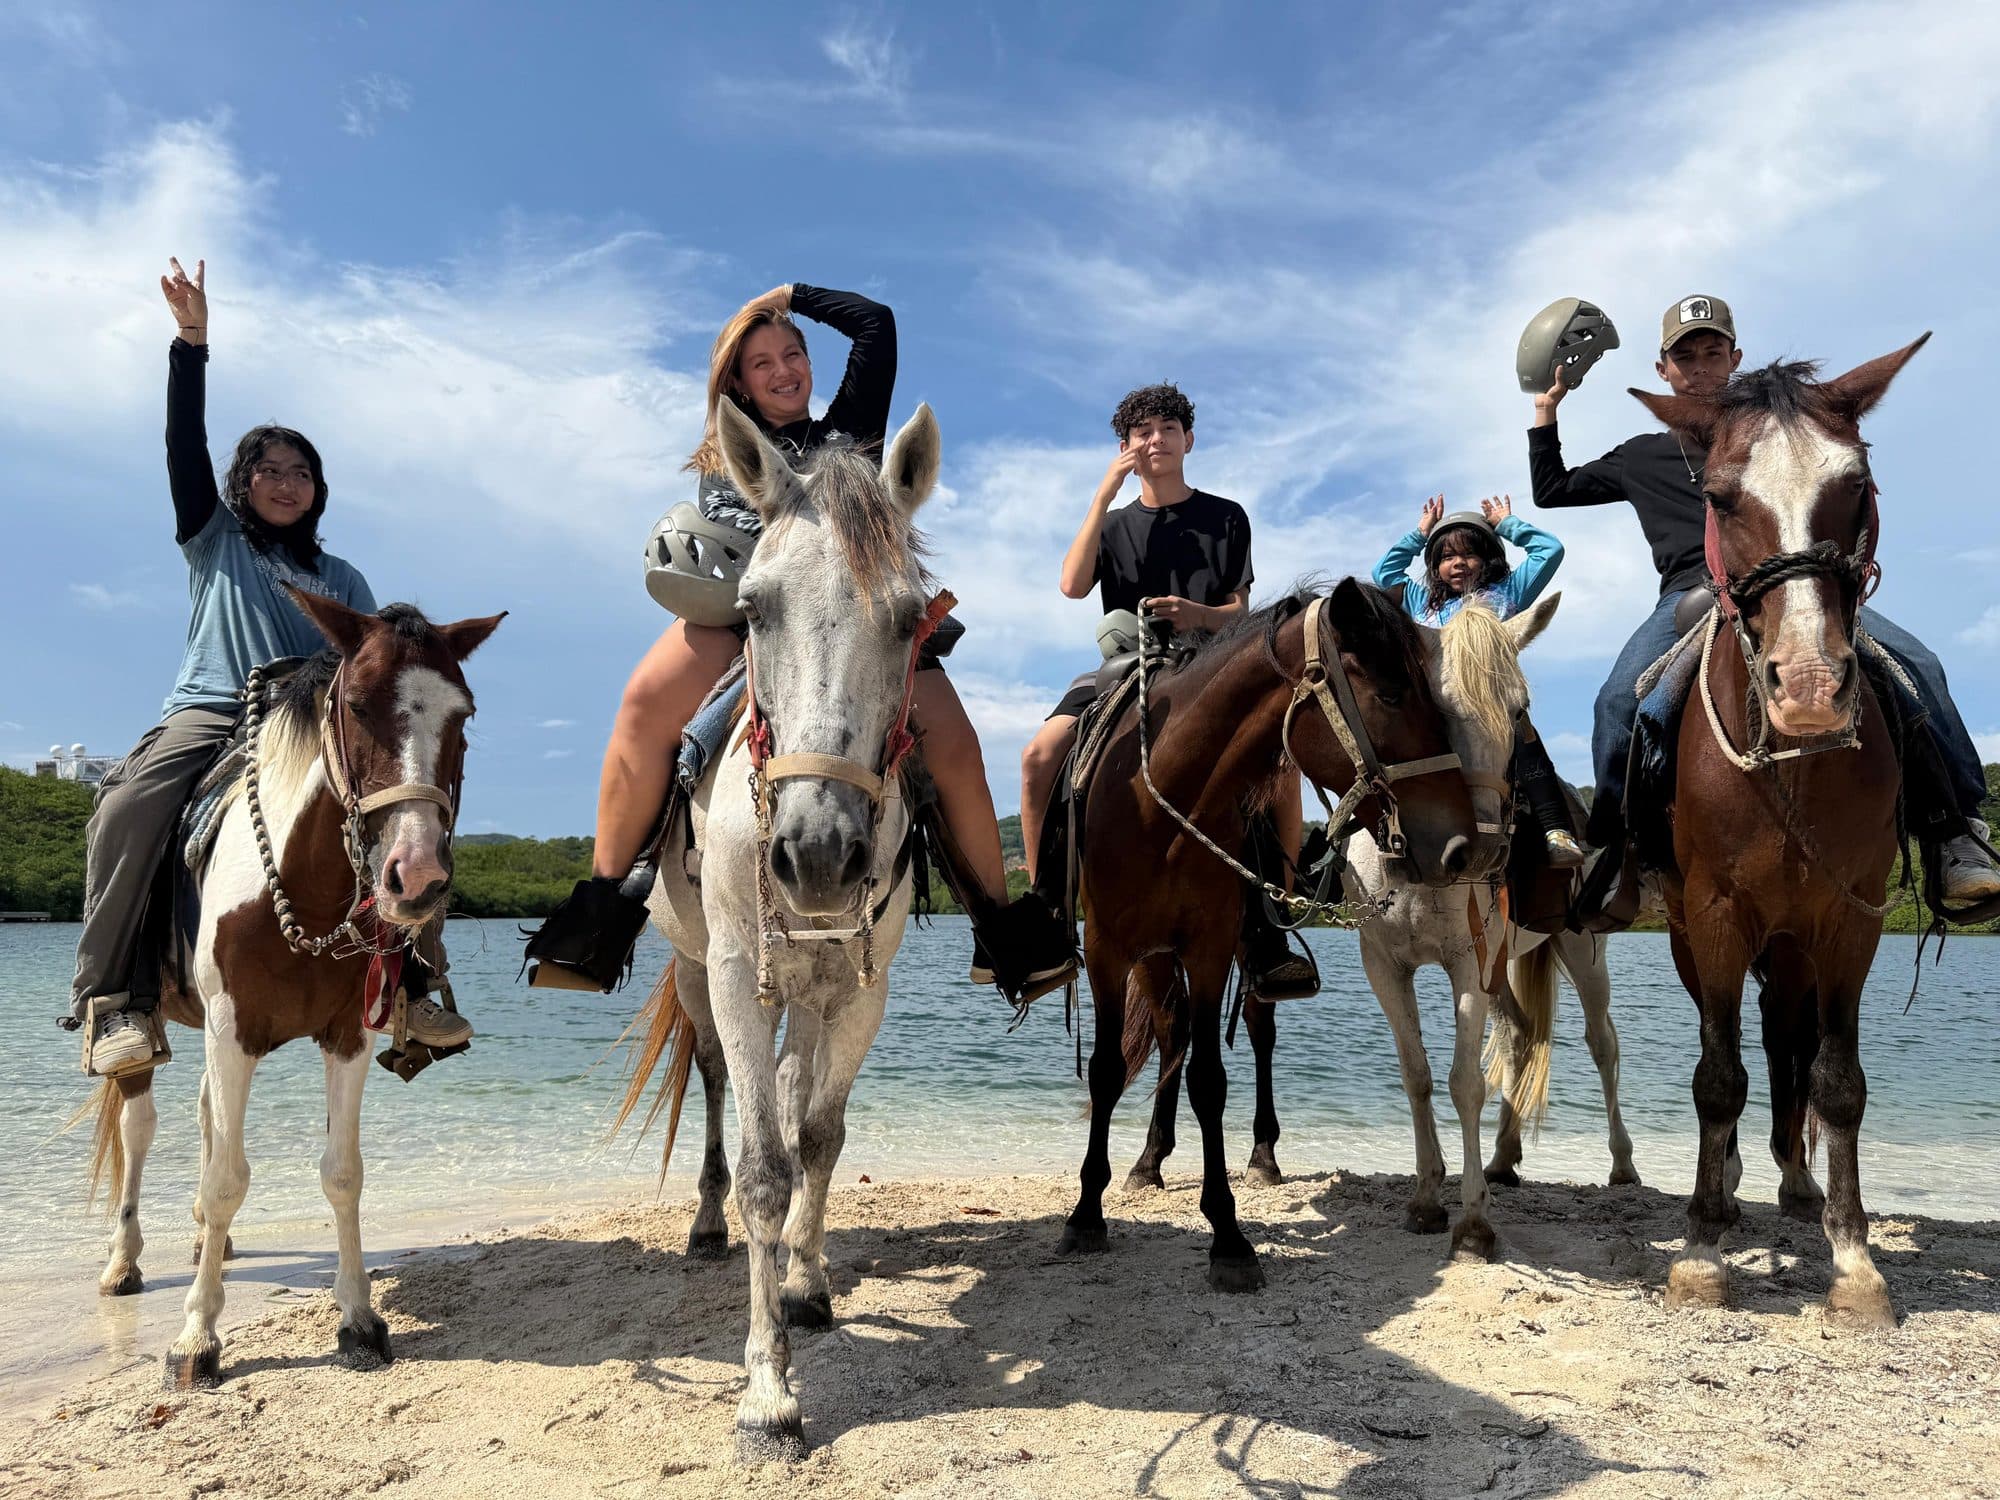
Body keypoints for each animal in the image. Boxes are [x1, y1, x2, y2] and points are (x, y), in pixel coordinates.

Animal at [82, 594, 504, 1387]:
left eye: (462, 715)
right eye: (358, 705)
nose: (416, 877)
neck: (301, 891)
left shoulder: (346, 1036)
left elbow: (341, 1174)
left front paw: (360, 1322)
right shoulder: (232, 1030)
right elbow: (226, 1178)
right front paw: (195, 1340)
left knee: (205, 1115)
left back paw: (205, 1245)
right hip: (155, 1036)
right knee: (140, 1125)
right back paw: (124, 1262)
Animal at [615, 398, 943, 1463]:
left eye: (910, 618)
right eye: (753, 608)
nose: (820, 854)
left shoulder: (861, 989)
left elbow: (821, 1135)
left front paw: (806, 1283)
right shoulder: (734, 975)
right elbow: (764, 1165)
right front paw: (767, 1394)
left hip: (809, 990)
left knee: (799, 1101)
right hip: (697, 977)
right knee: (720, 1088)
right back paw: (707, 1225)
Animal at [1065, 578, 1480, 1292]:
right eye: (1392, 693)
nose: (1459, 848)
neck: (1159, 800)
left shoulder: (1208, 950)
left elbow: (1210, 1079)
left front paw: (1228, 1237)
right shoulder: (1110, 953)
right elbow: (1108, 1068)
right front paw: (1088, 1211)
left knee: (1257, 1034)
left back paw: (1260, 1153)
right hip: (1152, 959)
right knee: (1170, 1033)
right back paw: (1149, 1158)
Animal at [1634, 340, 1927, 1329]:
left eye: (1858, 483)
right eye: (1722, 497)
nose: (1805, 687)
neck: (1792, 761)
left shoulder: (1853, 922)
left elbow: (1838, 1081)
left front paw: (1855, 1260)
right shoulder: (1717, 916)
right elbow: (1716, 1075)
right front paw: (1700, 1248)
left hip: (1797, 944)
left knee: (1789, 1046)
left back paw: (1799, 1187)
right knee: (1738, 1046)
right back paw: (1725, 1188)